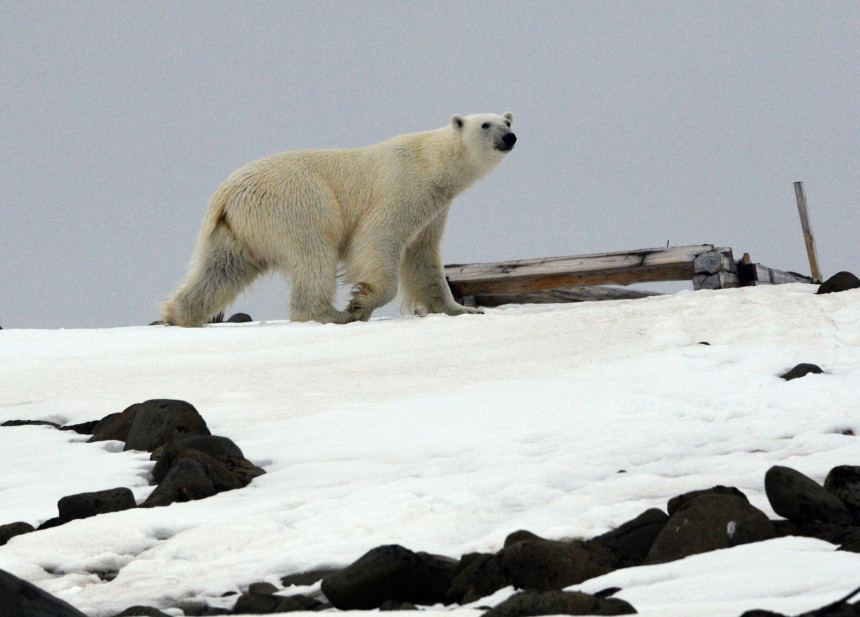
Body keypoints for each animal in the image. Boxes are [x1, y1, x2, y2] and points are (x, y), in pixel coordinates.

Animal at [162, 112, 516, 324]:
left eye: (508, 122)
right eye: (485, 125)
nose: (509, 138)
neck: (432, 161)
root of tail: (225, 193)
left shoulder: (435, 209)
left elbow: (423, 258)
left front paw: (464, 308)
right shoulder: (403, 187)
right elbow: (377, 238)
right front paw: (360, 305)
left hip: (238, 228)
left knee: (221, 269)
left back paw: (180, 314)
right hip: (297, 203)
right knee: (314, 254)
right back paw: (331, 314)